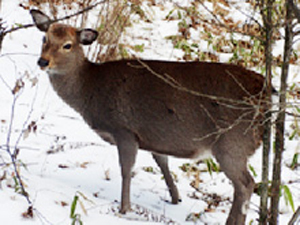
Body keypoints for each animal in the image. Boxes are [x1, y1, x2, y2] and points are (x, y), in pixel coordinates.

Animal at [31, 9, 268, 224]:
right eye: (45, 38)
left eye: (67, 45)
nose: (43, 62)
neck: (90, 92)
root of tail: (267, 93)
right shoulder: (155, 137)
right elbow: (162, 163)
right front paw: (175, 198)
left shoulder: (124, 129)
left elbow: (126, 169)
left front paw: (125, 208)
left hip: (232, 143)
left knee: (246, 183)